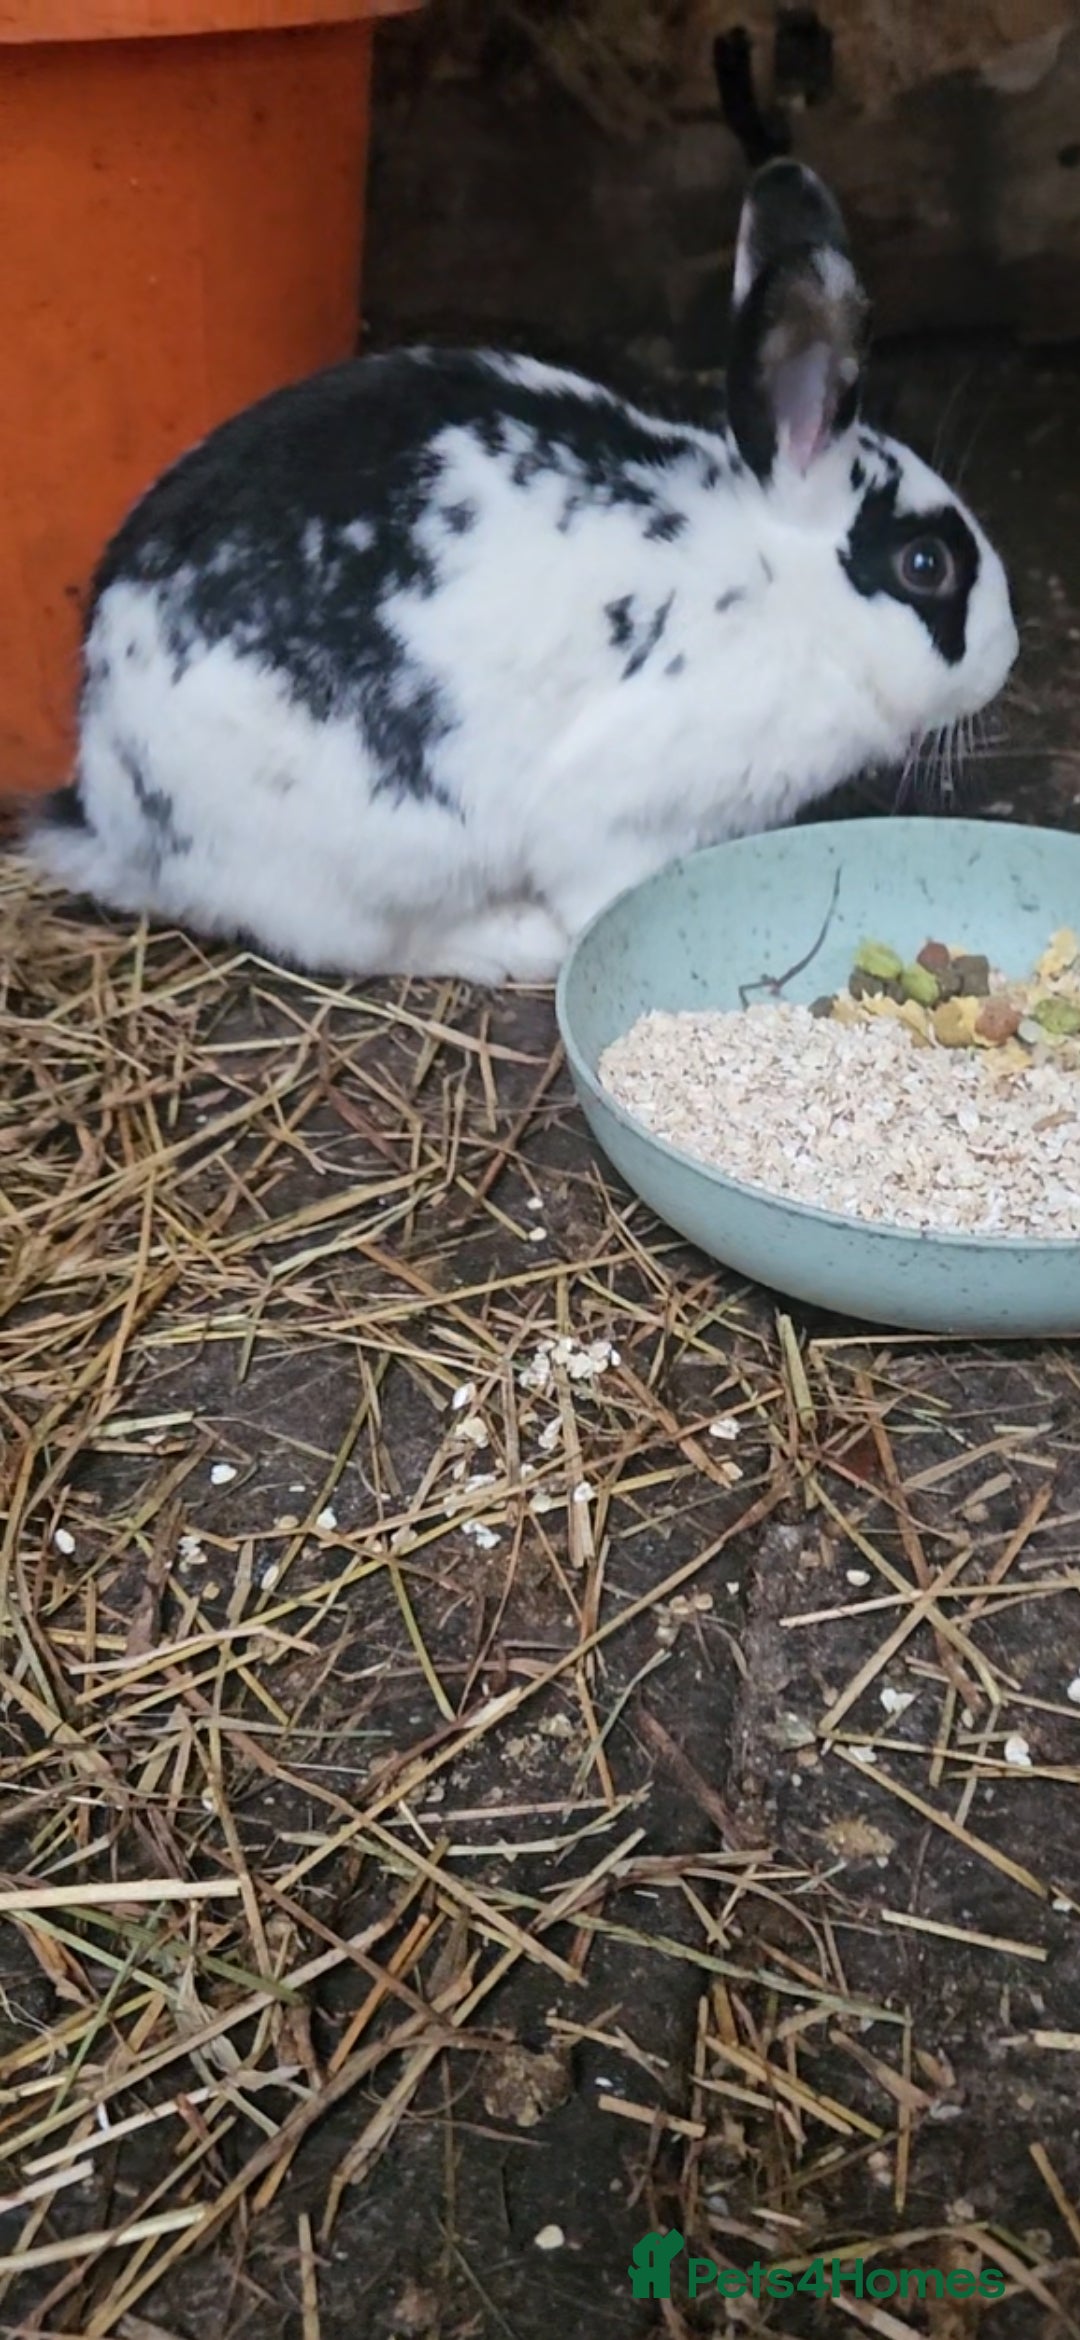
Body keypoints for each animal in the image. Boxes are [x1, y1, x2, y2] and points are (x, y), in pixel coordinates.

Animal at [26, 159, 1018, 986]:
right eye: (926, 565)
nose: (1006, 655)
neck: (782, 593)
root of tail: (108, 805)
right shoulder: (620, 809)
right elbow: (604, 880)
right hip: (369, 857)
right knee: (363, 944)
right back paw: (514, 944)